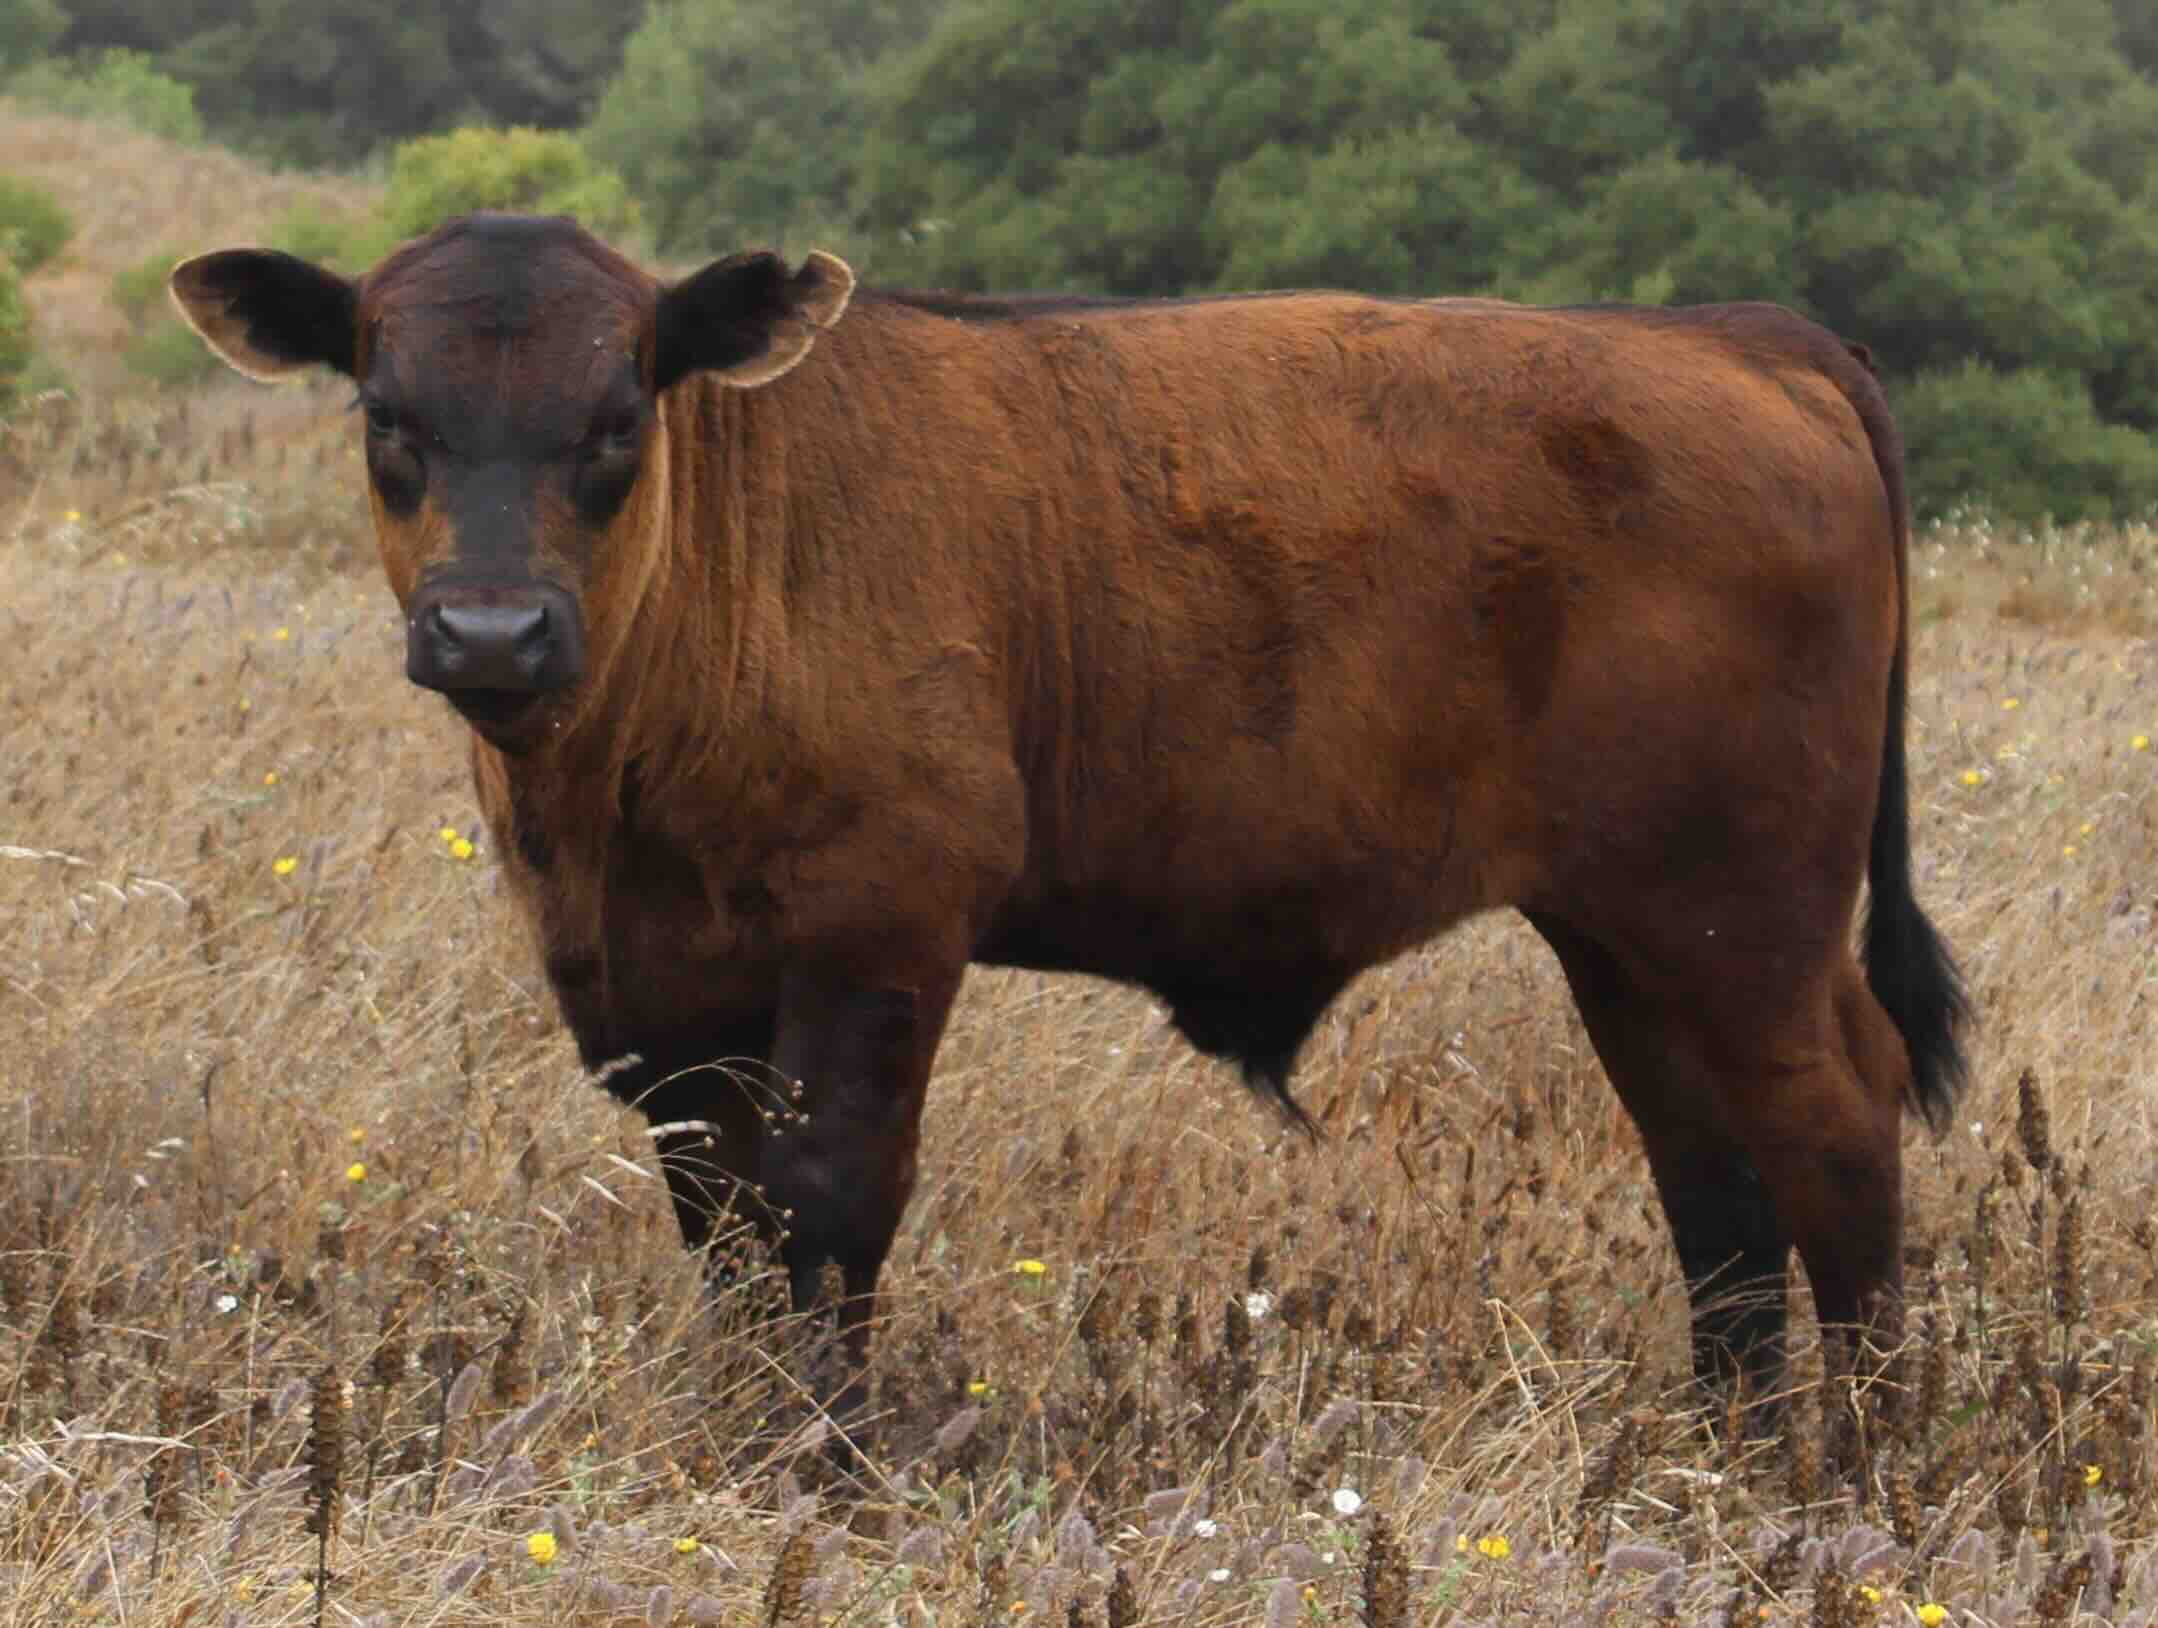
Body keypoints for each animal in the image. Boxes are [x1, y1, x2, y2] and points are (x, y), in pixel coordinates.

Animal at [171, 214, 1967, 1429]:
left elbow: (829, 1202)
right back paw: (1726, 1453)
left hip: (1744, 923)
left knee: (1831, 1129)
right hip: (1629, 937)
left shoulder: (879, 930)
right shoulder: (664, 997)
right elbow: (724, 1220)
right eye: (384, 416)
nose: (491, 633)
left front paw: (823, 1462)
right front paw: (745, 1434)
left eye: (618, 418)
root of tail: (1734, 338)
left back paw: (1862, 1464)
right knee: (1709, 1179)